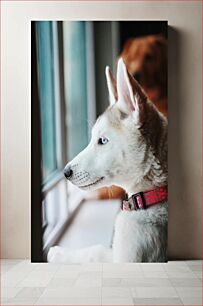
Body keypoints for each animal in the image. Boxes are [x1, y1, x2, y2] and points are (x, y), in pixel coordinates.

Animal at [48, 58, 168, 262]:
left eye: (102, 141)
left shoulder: (127, 258)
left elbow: (94, 251)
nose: (65, 172)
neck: (153, 194)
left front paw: (59, 253)